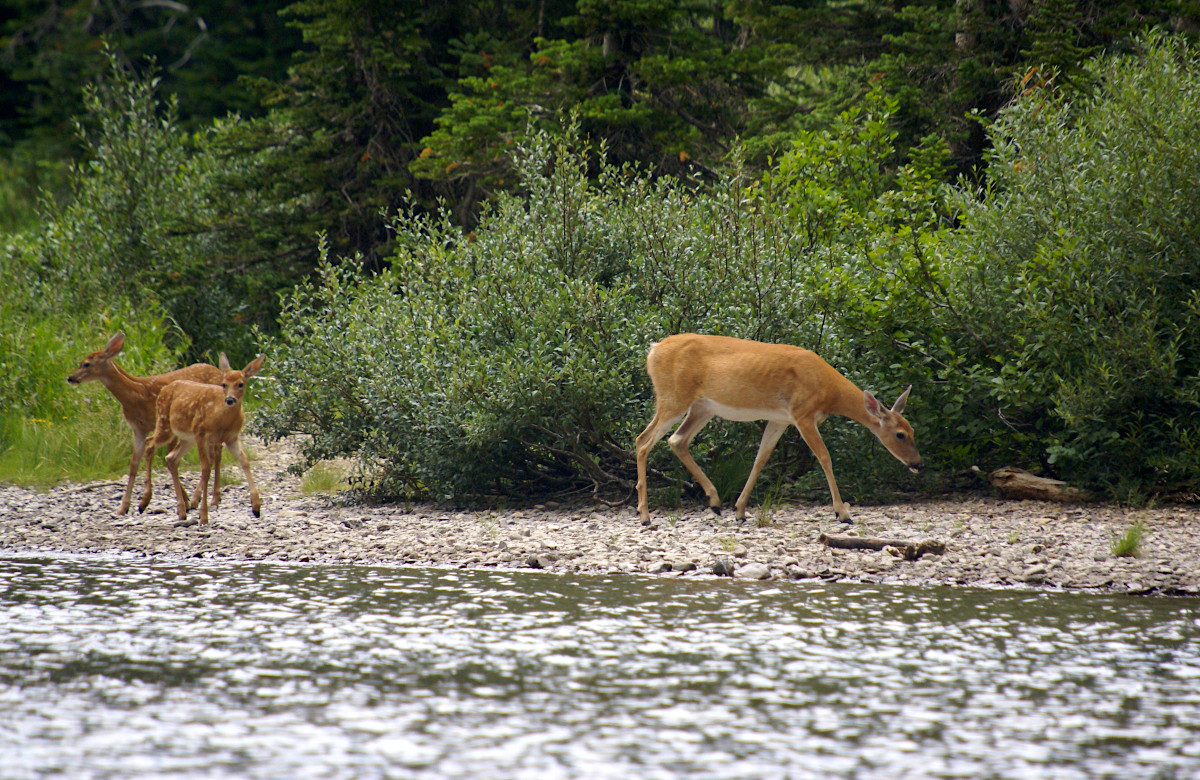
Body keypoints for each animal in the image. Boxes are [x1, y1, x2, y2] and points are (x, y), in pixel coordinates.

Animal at [70, 331, 226, 513]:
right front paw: (123, 507)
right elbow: (134, 463)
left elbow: (161, 455)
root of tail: (220, 372)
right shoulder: (138, 429)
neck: (138, 395)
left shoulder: (164, 426)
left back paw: (209, 498)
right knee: (213, 451)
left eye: (86, 364)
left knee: (216, 452)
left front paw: (147, 500)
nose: (70, 378)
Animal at [145, 350, 262, 523]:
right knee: (150, 445)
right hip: (166, 424)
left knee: (170, 457)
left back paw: (181, 511)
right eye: (224, 384)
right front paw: (203, 514)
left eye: (241, 384)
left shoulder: (232, 438)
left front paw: (256, 506)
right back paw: (144, 502)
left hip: (187, 438)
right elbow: (206, 469)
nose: (230, 399)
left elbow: (244, 461)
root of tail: (163, 390)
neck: (222, 419)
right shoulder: (201, 433)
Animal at [633, 333, 921, 523]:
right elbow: (825, 457)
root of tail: (653, 350)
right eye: (900, 434)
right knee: (643, 440)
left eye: (913, 432)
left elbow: (761, 458)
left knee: (677, 440)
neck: (829, 391)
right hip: (673, 397)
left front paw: (740, 510)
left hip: (702, 407)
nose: (918, 463)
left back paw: (714, 502)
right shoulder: (803, 413)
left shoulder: (780, 419)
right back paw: (645, 515)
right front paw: (843, 513)